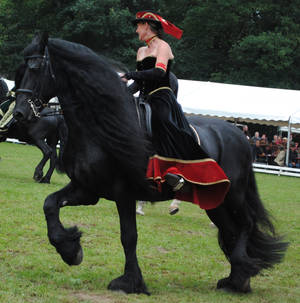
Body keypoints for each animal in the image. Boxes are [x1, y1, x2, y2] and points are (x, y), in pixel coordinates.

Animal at [12, 32, 288, 294]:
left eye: (36, 68)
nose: (19, 113)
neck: (98, 126)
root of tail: (239, 135)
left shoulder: (123, 192)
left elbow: (128, 236)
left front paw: (129, 282)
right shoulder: (86, 189)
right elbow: (50, 204)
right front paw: (70, 250)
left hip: (234, 195)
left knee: (245, 225)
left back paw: (241, 275)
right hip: (216, 201)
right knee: (230, 230)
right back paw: (235, 280)